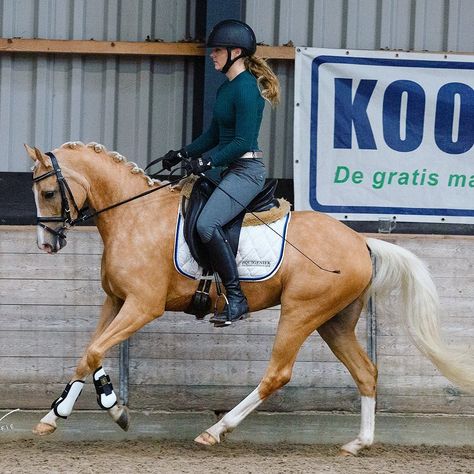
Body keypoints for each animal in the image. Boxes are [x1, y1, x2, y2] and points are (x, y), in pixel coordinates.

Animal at [26, 142, 474, 456]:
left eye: (48, 192)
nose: (47, 244)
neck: (133, 215)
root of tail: (361, 242)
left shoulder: (142, 306)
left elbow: (96, 351)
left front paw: (112, 406)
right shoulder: (116, 301)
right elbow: (88, 353)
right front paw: (53, 417)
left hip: (301, 312)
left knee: (277, 373)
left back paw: (215, 431)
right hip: (335, 322)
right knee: (366, 372)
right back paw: (357, 443)